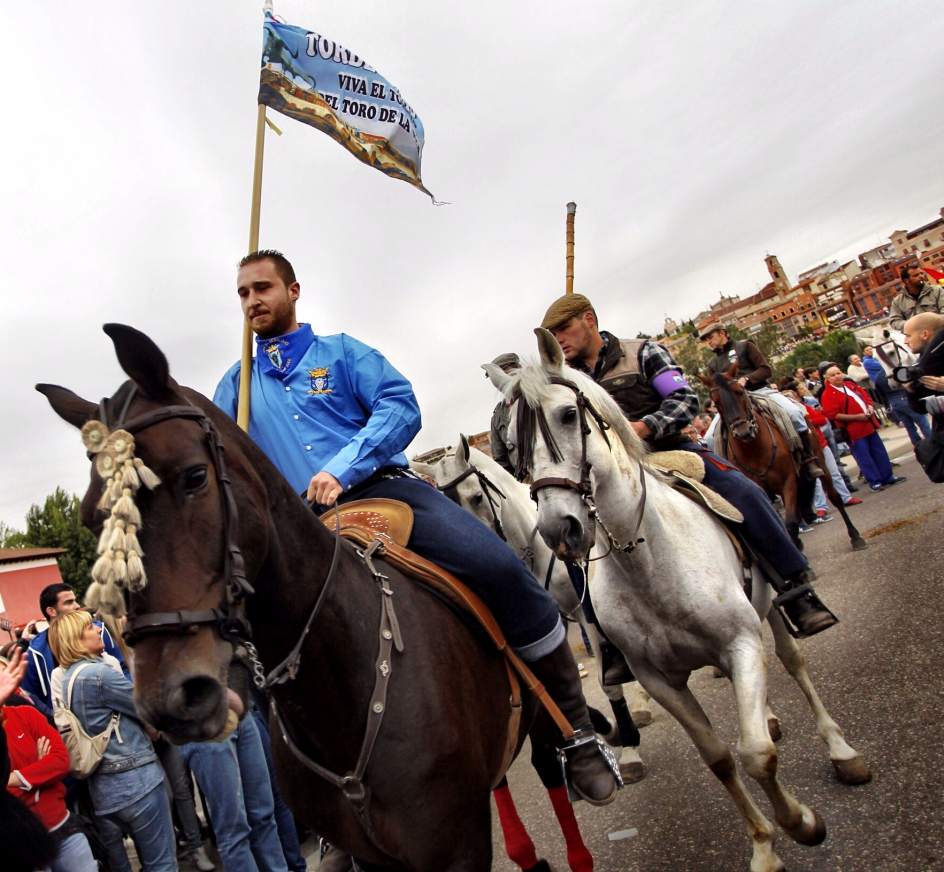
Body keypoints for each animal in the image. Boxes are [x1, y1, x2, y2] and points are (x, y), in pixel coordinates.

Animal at [412, 440, 648, 780]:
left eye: (477, 497)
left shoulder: (581, 613)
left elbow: (606, 680)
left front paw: (628, 744)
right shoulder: (547, 622)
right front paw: (605, 726)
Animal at [704, 362, 868, 552]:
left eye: (739, 391)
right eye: (717, 401)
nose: (743, 431)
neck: (753, 449)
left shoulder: (788, 482)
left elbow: (789, 523)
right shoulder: (762, 491)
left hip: (821, 463)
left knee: (835, 497)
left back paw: (855, 536)